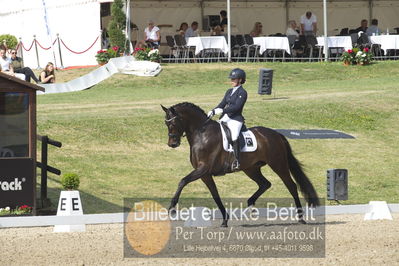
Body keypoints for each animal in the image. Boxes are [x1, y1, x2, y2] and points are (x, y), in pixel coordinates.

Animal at [161, 102, 320, 227]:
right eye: (166, 123)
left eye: (173, 123)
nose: (172, 144)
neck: (202, 134)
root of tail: (276, 134)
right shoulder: (205, 174)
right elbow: (215, 194)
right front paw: (225, 220)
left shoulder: (203, 168)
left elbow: (182, 181)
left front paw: (172, 209)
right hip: (251, 169)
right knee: (265, 184)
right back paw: (251, 205)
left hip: (278, 164)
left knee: (291, 186)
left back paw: (301, 218)